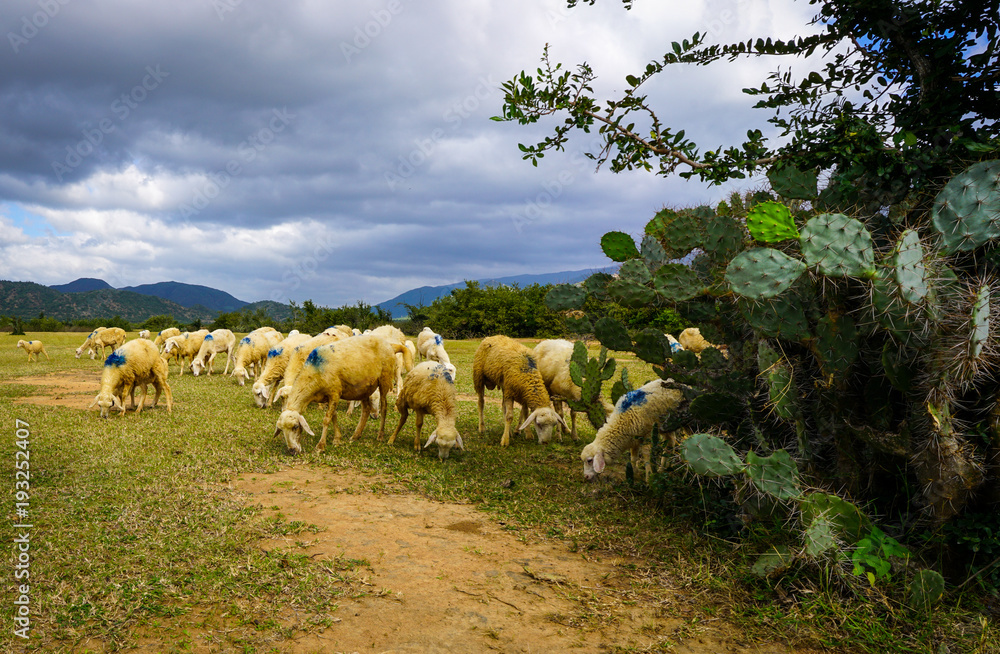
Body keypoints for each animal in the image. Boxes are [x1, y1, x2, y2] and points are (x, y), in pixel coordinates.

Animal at [273, 333, 413, 454]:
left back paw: (380, 435)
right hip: (364, 386)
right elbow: (333, 416)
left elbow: (327, 419)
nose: (292, 451)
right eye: (281, 430)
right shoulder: (329, 397)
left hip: (385, 379)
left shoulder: (335, 393)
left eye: (296, 426)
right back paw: (356, 435)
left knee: (384, 407)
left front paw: (320, 446)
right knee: (366, 409)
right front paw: (337, 439)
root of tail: (390, 344)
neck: (314, 371)